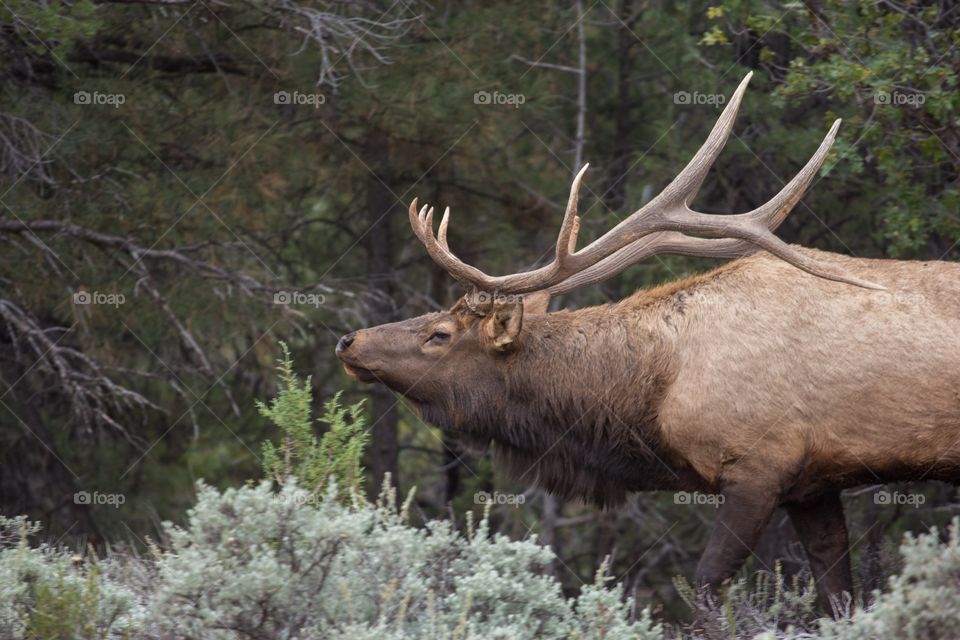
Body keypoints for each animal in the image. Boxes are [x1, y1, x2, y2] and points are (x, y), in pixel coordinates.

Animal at [335, 72, 960, 615]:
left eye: (439, 335)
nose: (348, 339)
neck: (654, 396)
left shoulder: (759, 467)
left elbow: (705, 588)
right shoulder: (814, 485)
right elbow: (839, 596)